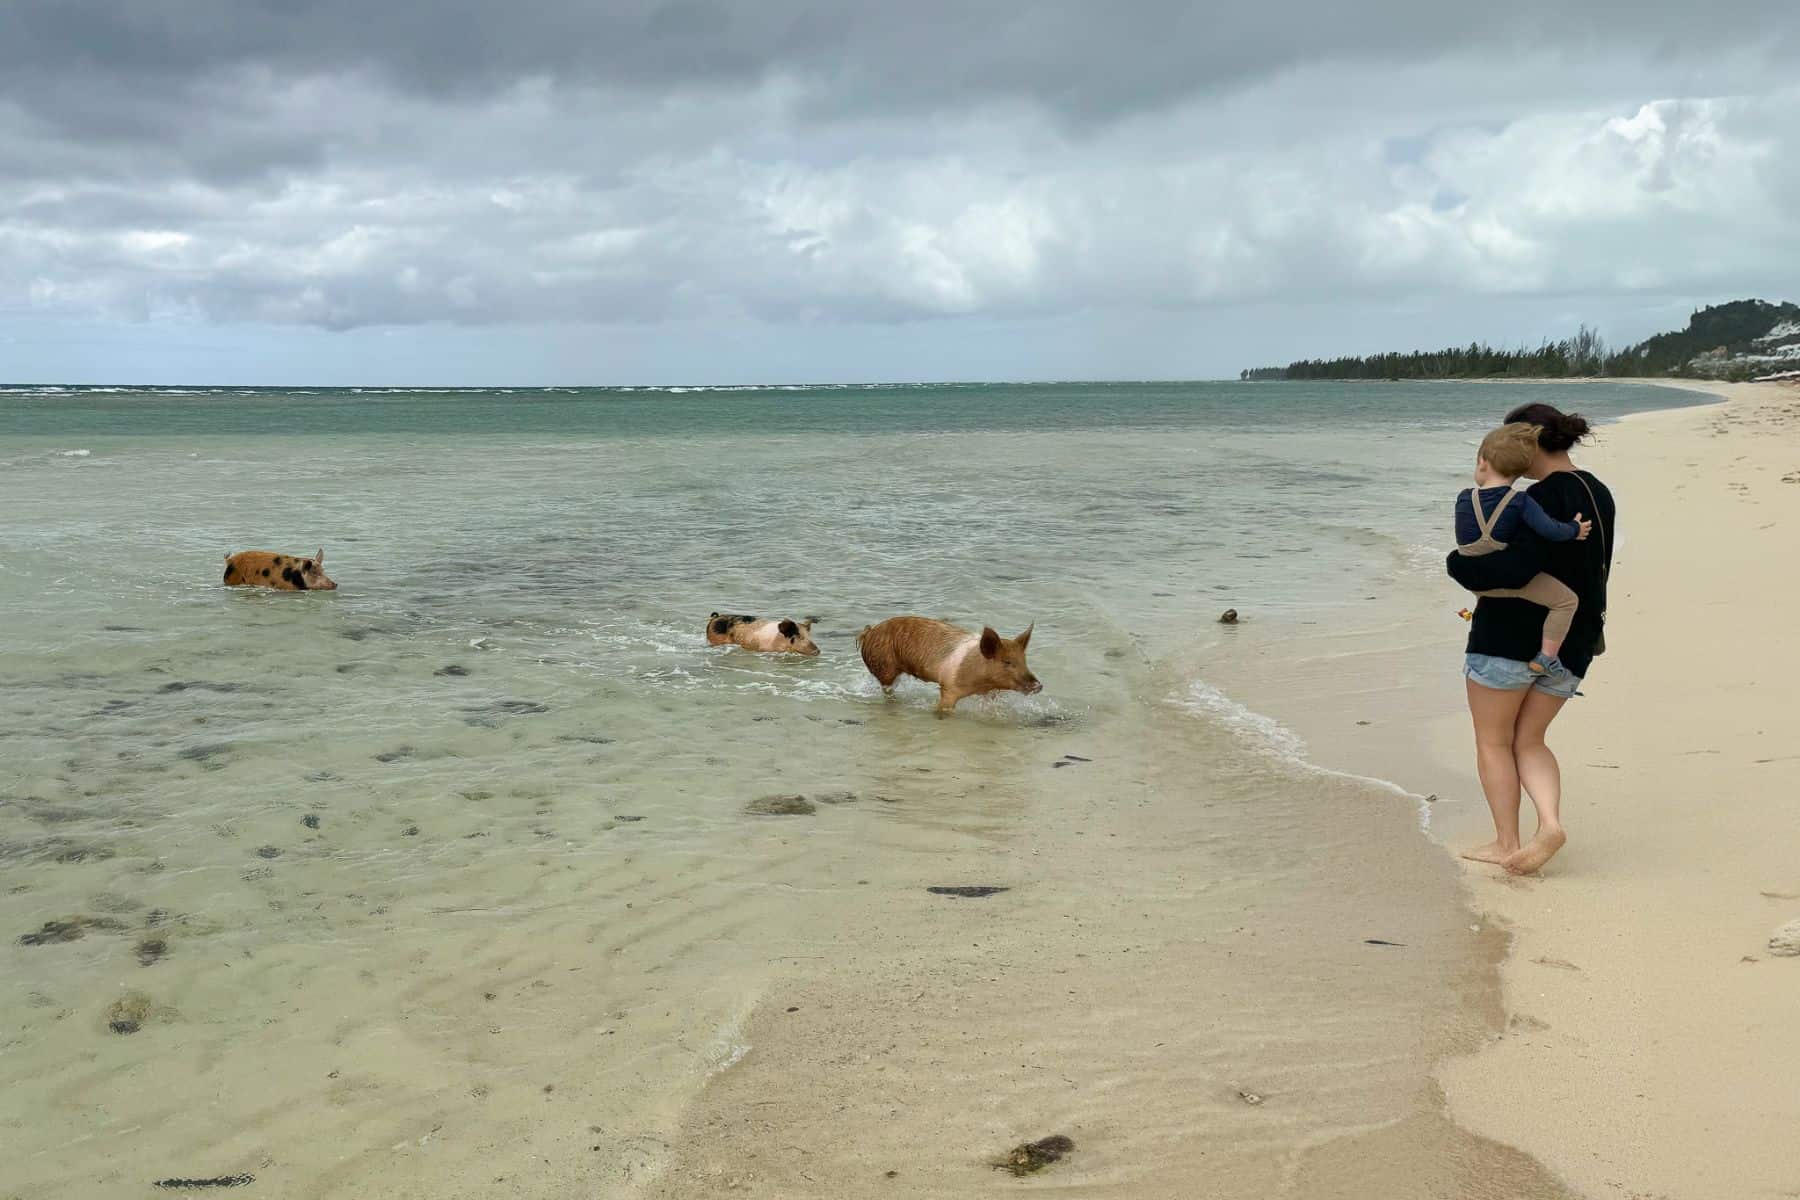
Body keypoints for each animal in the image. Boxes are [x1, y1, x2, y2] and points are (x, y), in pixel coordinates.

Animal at [856, 616, 1041, 711]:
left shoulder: (991, 693)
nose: (1038, 685)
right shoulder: (949, 688)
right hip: (884, 668)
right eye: (1007, 662)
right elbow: (943, 709)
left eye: (1024, 661)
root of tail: (869, 632)